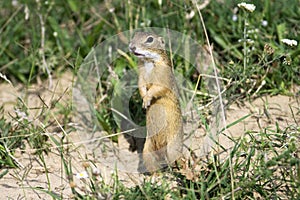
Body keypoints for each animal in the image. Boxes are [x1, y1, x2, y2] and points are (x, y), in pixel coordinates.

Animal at [128, 31, 183, 172]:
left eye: (150, 39)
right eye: (134, 35)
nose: (131, 47)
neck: (148, 62)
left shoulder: (163, 77)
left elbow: (157, 88)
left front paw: (147, 99)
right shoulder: (141, 76)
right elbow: (141, 86)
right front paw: (144, 101)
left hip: (172, 148)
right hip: (147, 151)